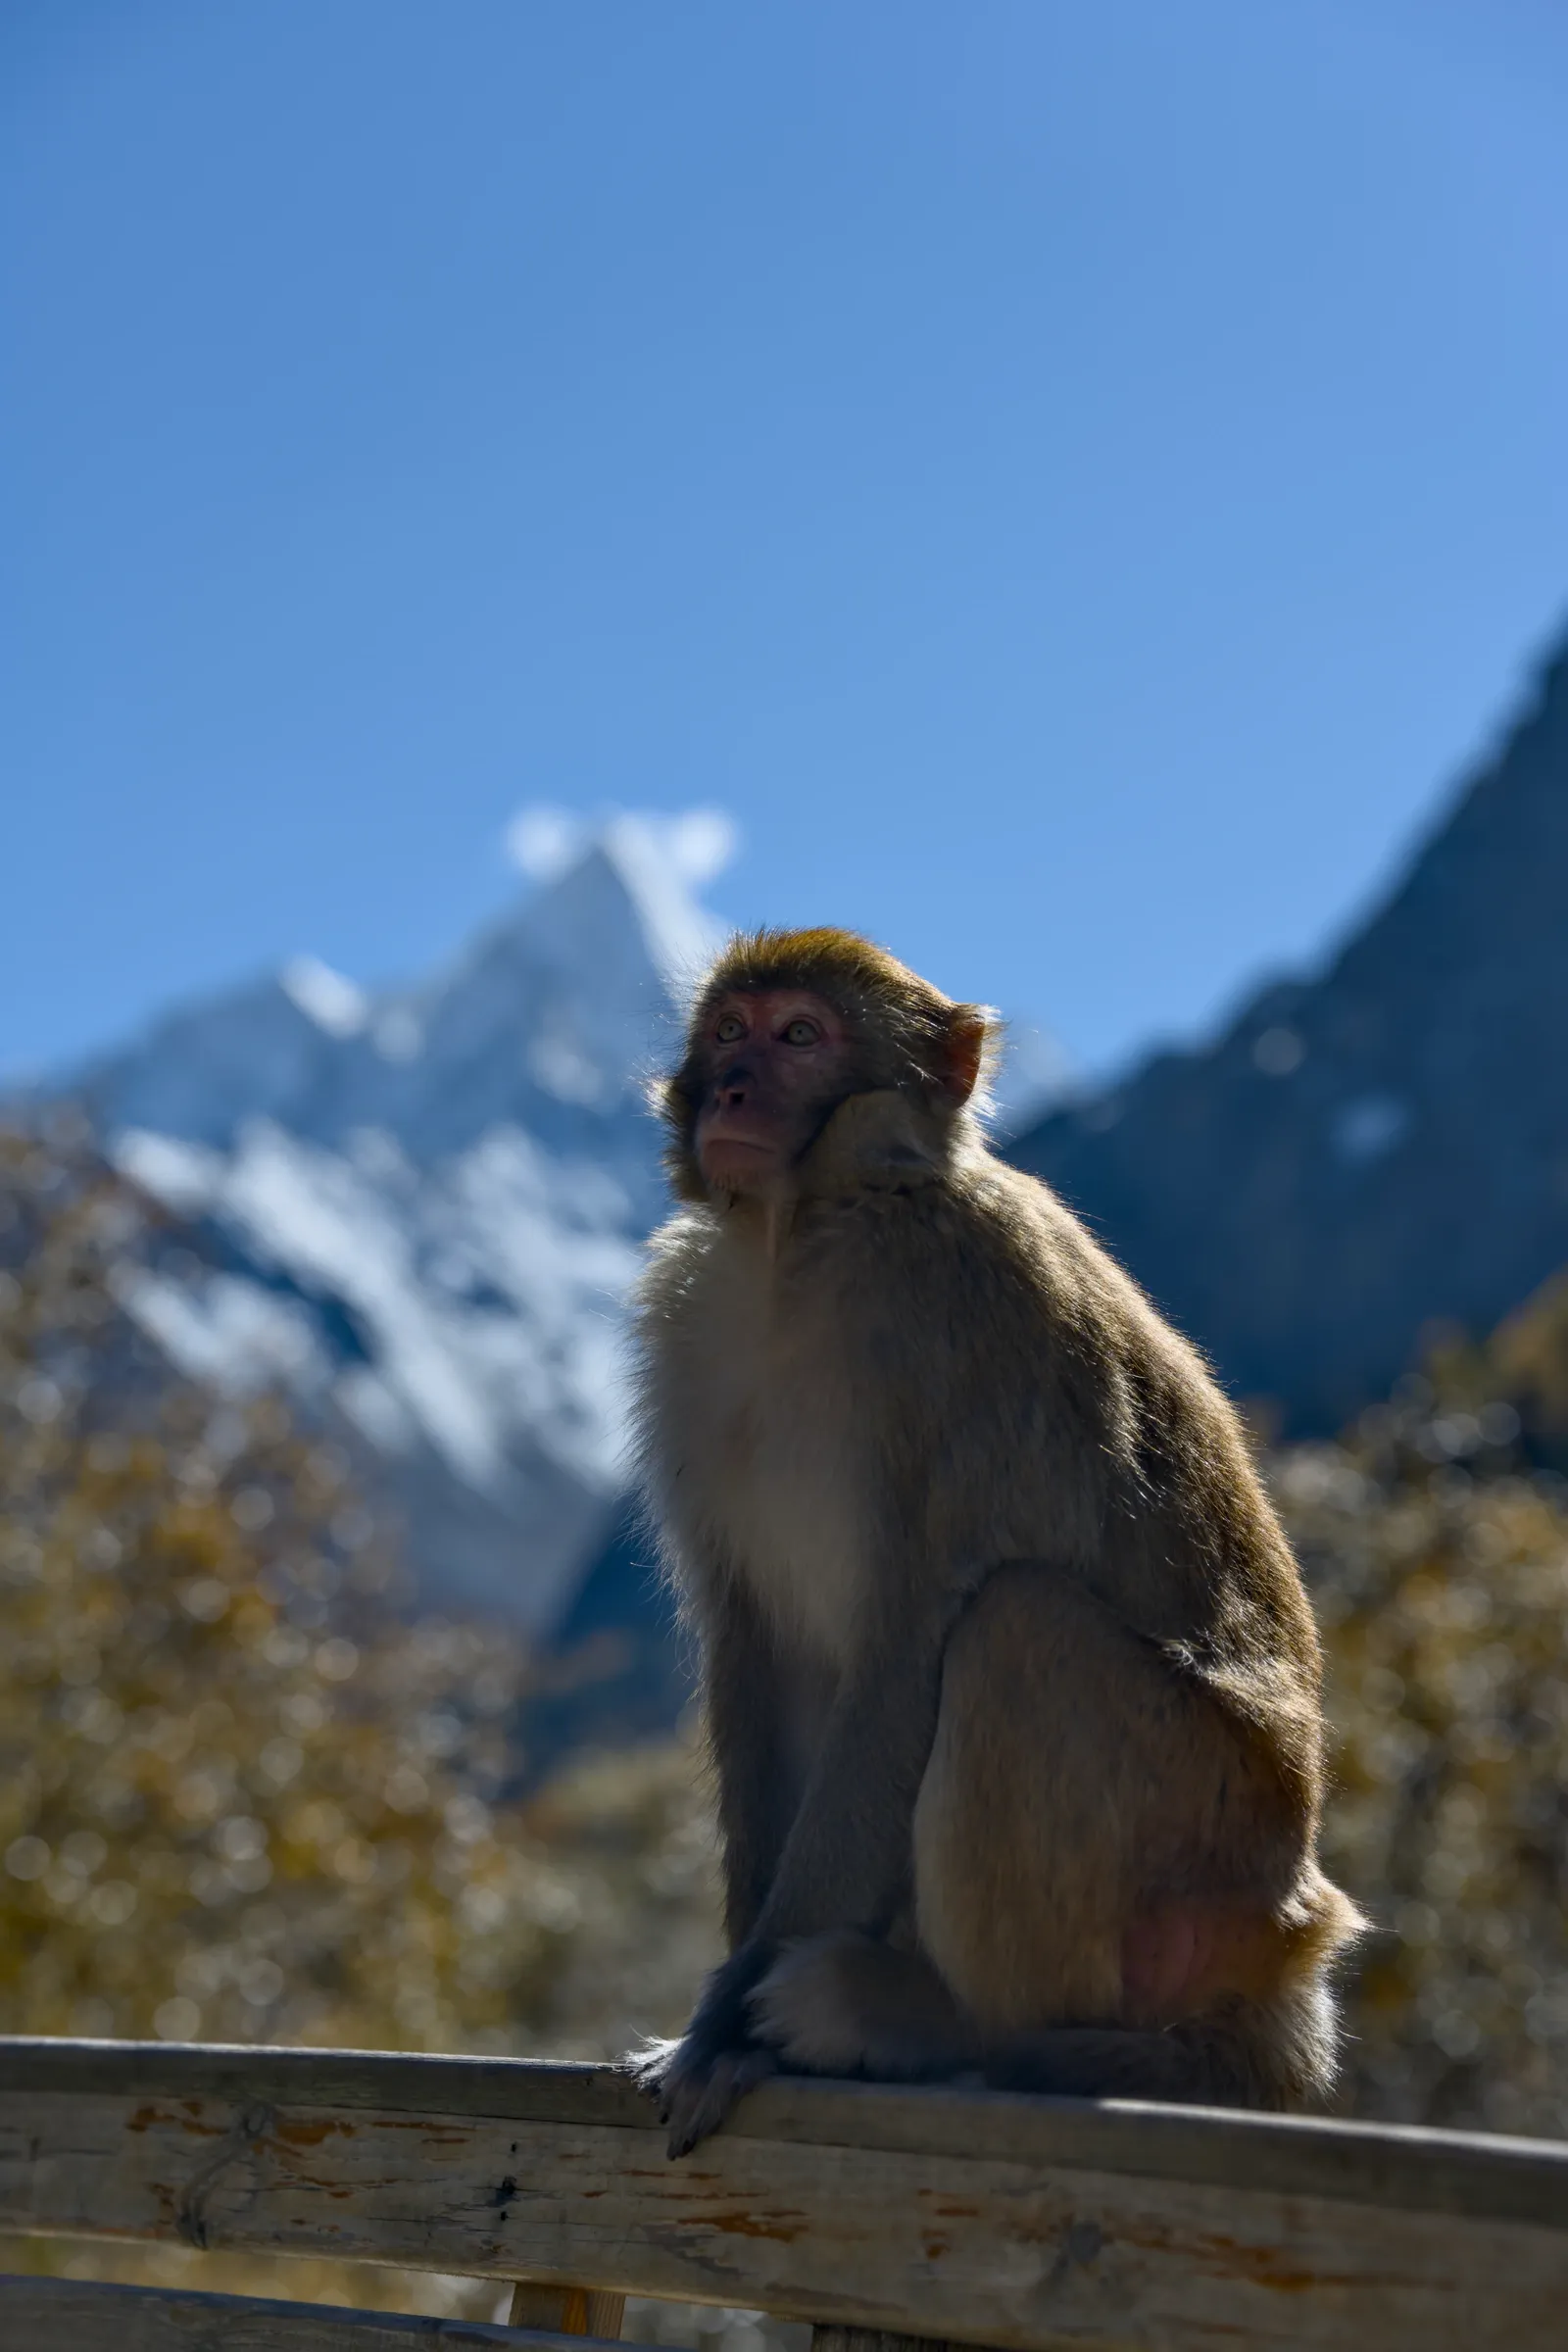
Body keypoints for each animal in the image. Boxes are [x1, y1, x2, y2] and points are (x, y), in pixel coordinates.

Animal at [627, 927, 1364, 2158]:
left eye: (799, 1036)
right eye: (729, 1032)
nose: (731, 1089)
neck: (801, 1230)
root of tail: (1287, 1959)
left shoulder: (945, 1326)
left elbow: (904, 1647)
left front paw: (723, 2030)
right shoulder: (687, 1334)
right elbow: (754, 1646)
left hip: (1205, 1843)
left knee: (1019, 1629)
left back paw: (933, 2022)